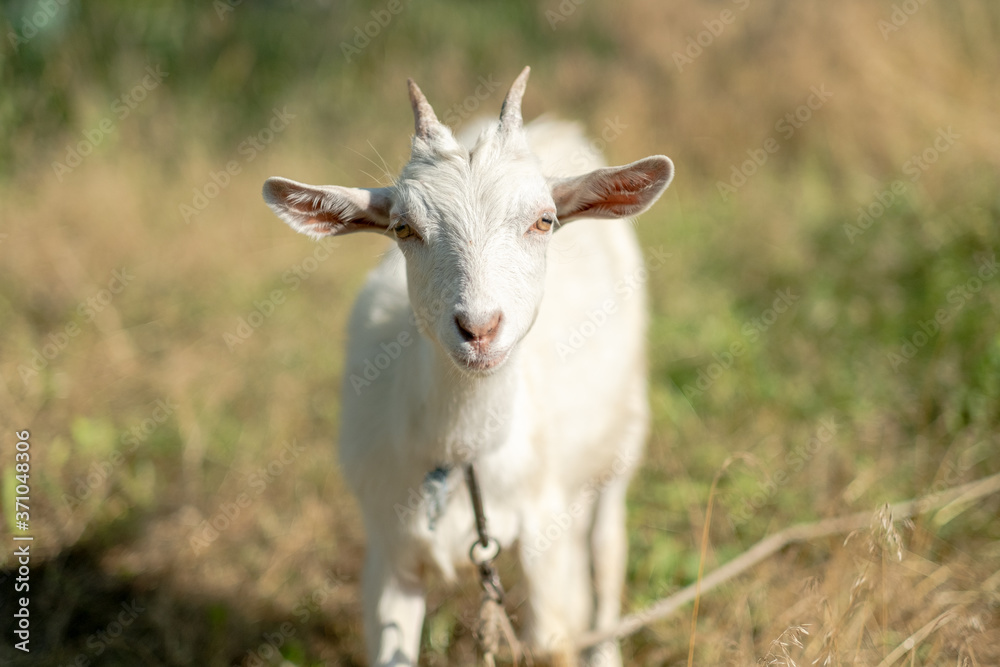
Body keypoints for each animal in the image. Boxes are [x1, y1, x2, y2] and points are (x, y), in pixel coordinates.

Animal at [262, 69, 676, 667]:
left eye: (545, 220)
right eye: (403, 228)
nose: (479, 328)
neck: (461, 455)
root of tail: (559, 126)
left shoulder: (543, 529)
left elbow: (553, 640)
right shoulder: (389, 547)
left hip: (623, 435)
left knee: (606, 551)